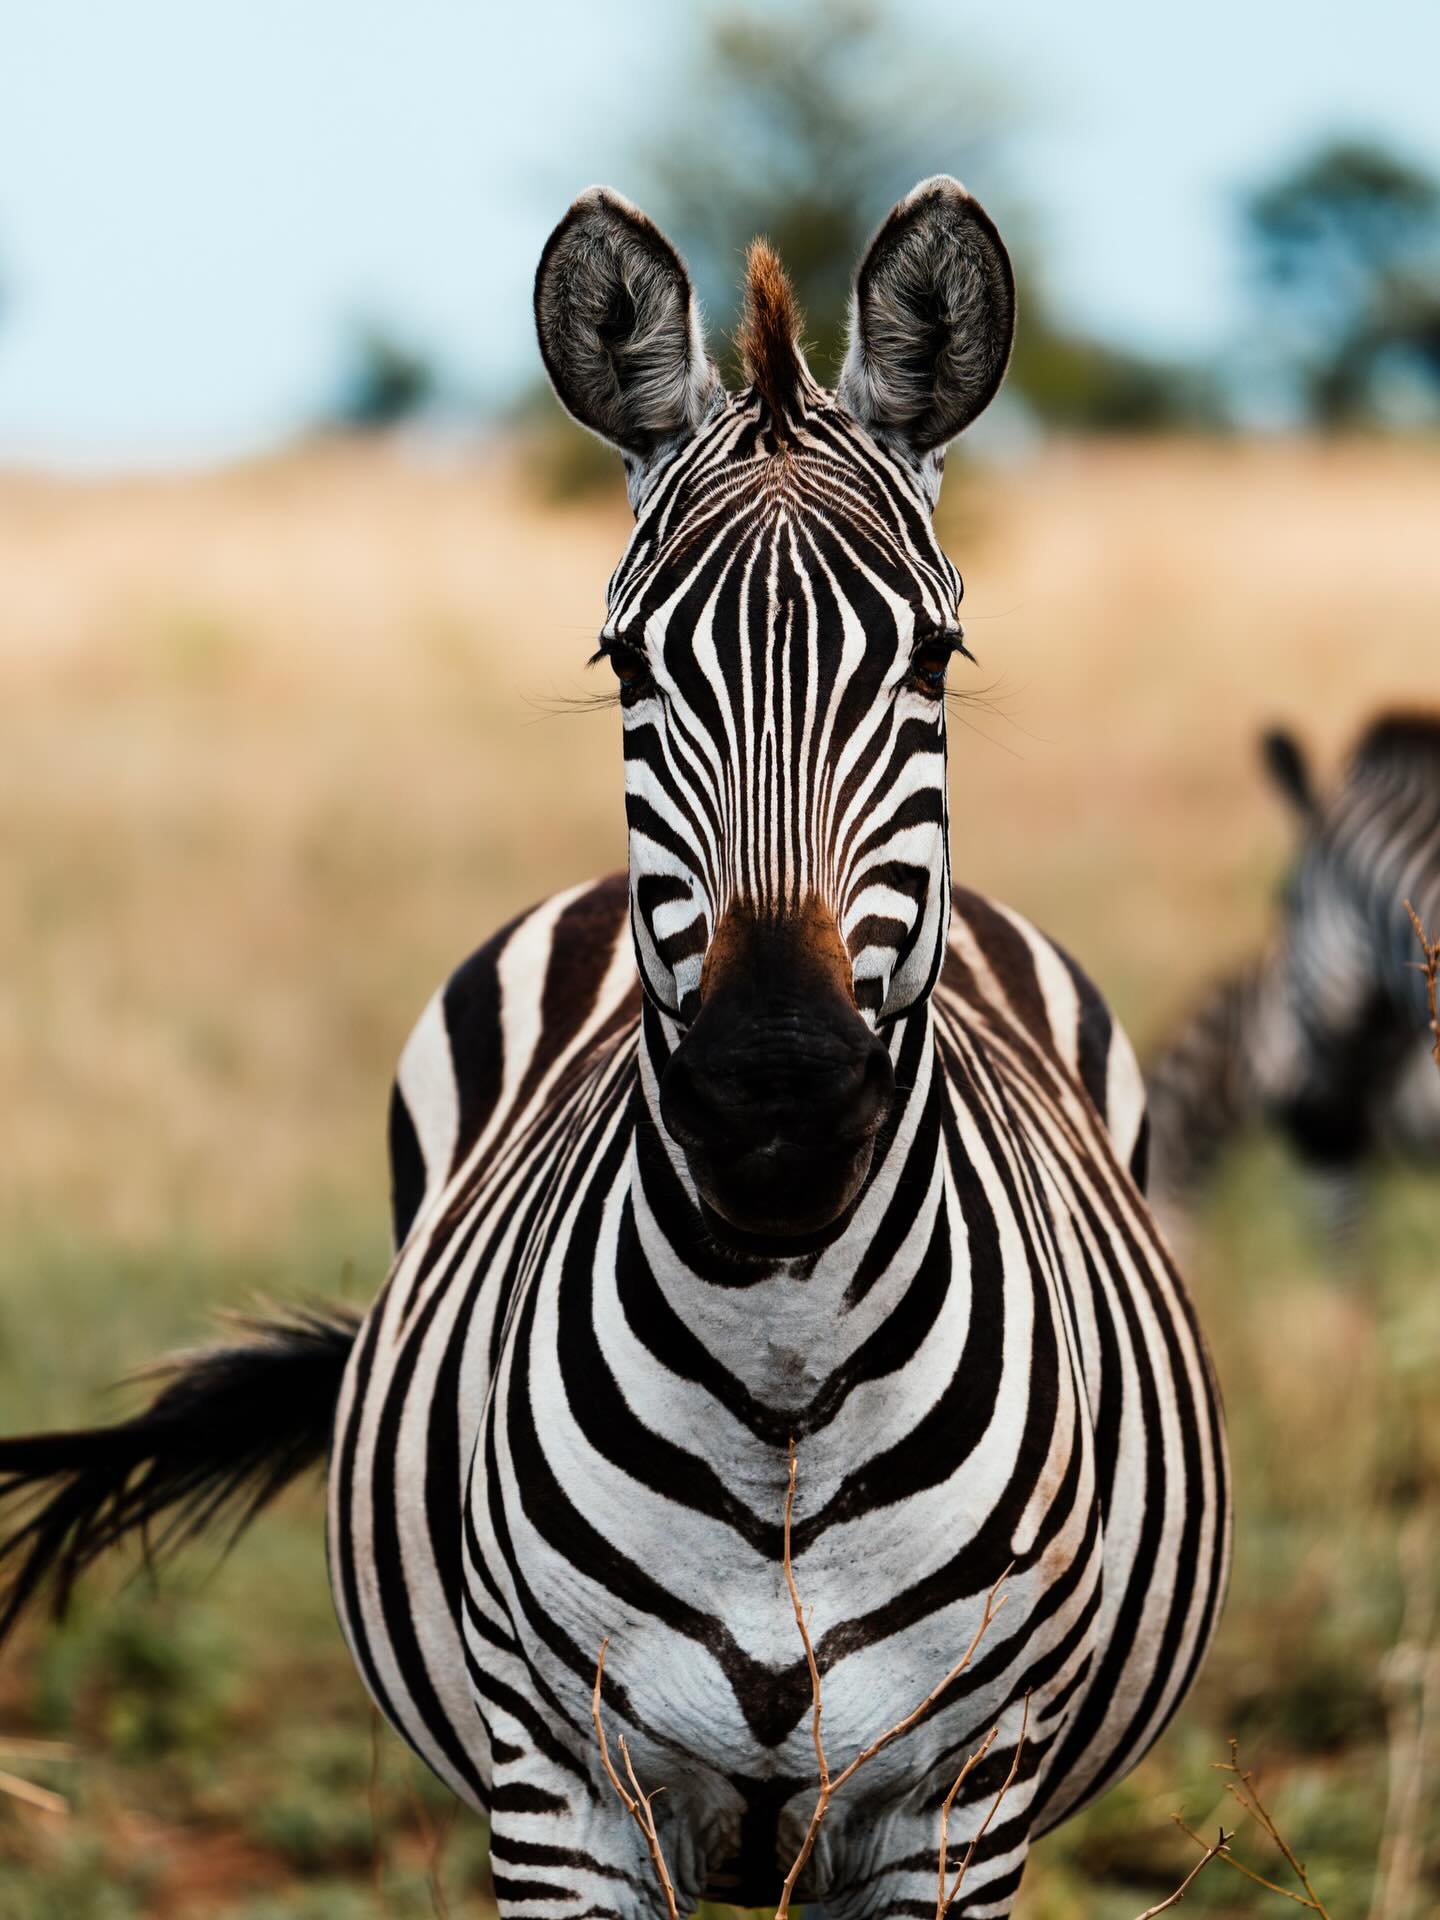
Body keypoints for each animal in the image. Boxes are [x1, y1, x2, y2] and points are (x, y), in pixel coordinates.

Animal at [0, 180, 1229, 1919]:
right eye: (629, 662)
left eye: (932, 660)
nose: (774, 1098)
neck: (786, 1382)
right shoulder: (565, 1795)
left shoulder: (959, 1806)